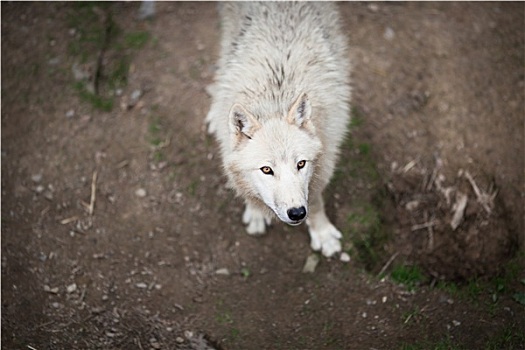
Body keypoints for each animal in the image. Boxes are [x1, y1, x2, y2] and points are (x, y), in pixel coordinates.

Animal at [206, 2, 352, 258]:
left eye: (301, 164)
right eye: (266, 169)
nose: (297, 213)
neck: (276, 98)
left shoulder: (321, 170)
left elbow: (316, 202)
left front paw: (323, 234)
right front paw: (255, 213)